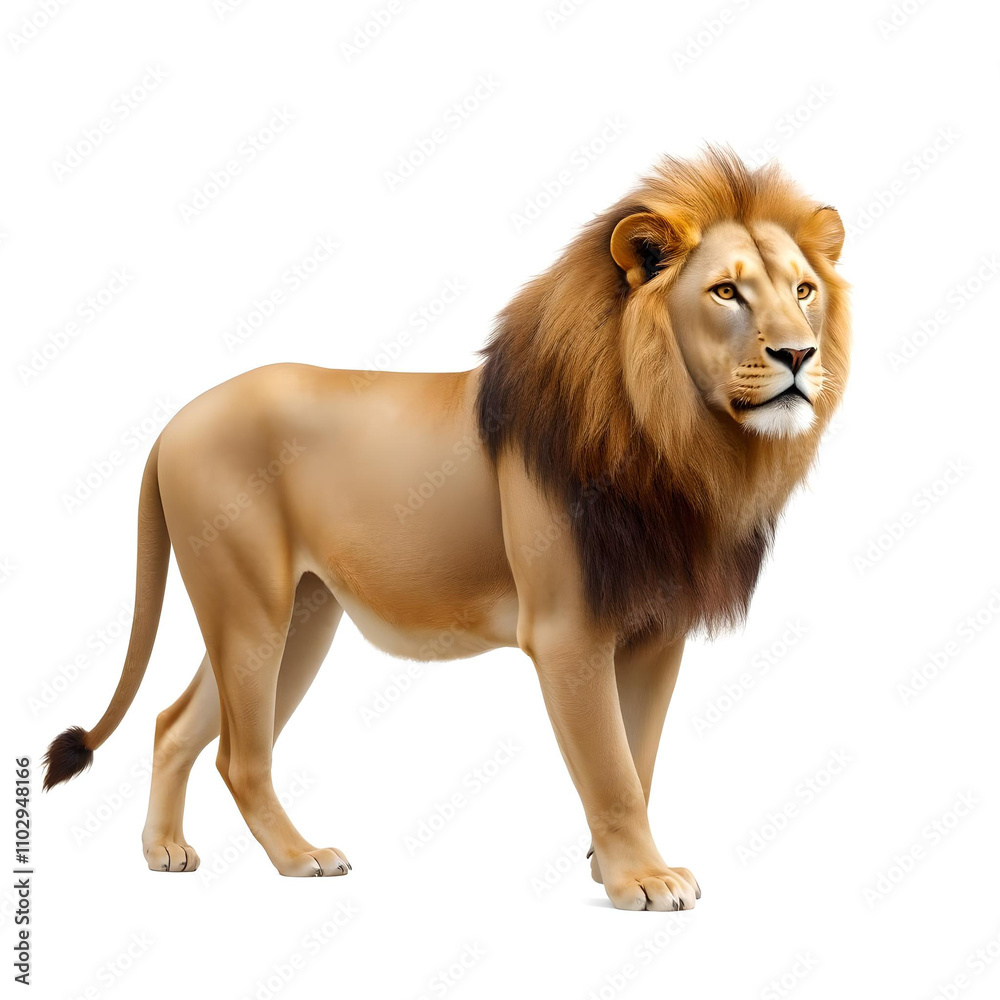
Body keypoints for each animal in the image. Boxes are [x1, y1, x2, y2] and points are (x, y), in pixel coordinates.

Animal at [43, 148, 849, 911]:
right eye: (726, 291)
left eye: (803, 291)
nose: (798, 355)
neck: (674, 440)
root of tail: (172, 424)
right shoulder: (568, 633)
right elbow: (612, 771)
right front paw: (642, 881)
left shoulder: (656, 630)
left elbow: (639, 758)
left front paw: (611, 865)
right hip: (250, 609)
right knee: (238, 757)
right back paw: (300, 857)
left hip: (294, 615)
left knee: (174, 723)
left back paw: (164, 851)